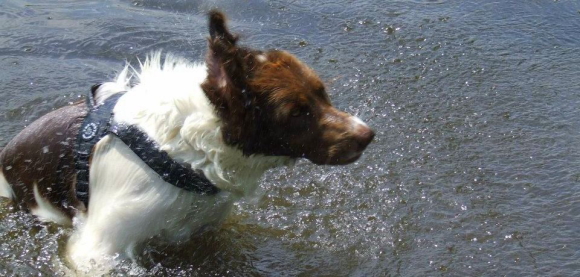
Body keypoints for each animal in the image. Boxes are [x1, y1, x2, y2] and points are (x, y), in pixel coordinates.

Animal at [0, 10, 374, 270]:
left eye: (322, 94)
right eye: (296, 113)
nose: (367, 135)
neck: (184, 149)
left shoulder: (206, 227)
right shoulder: (97, 249)